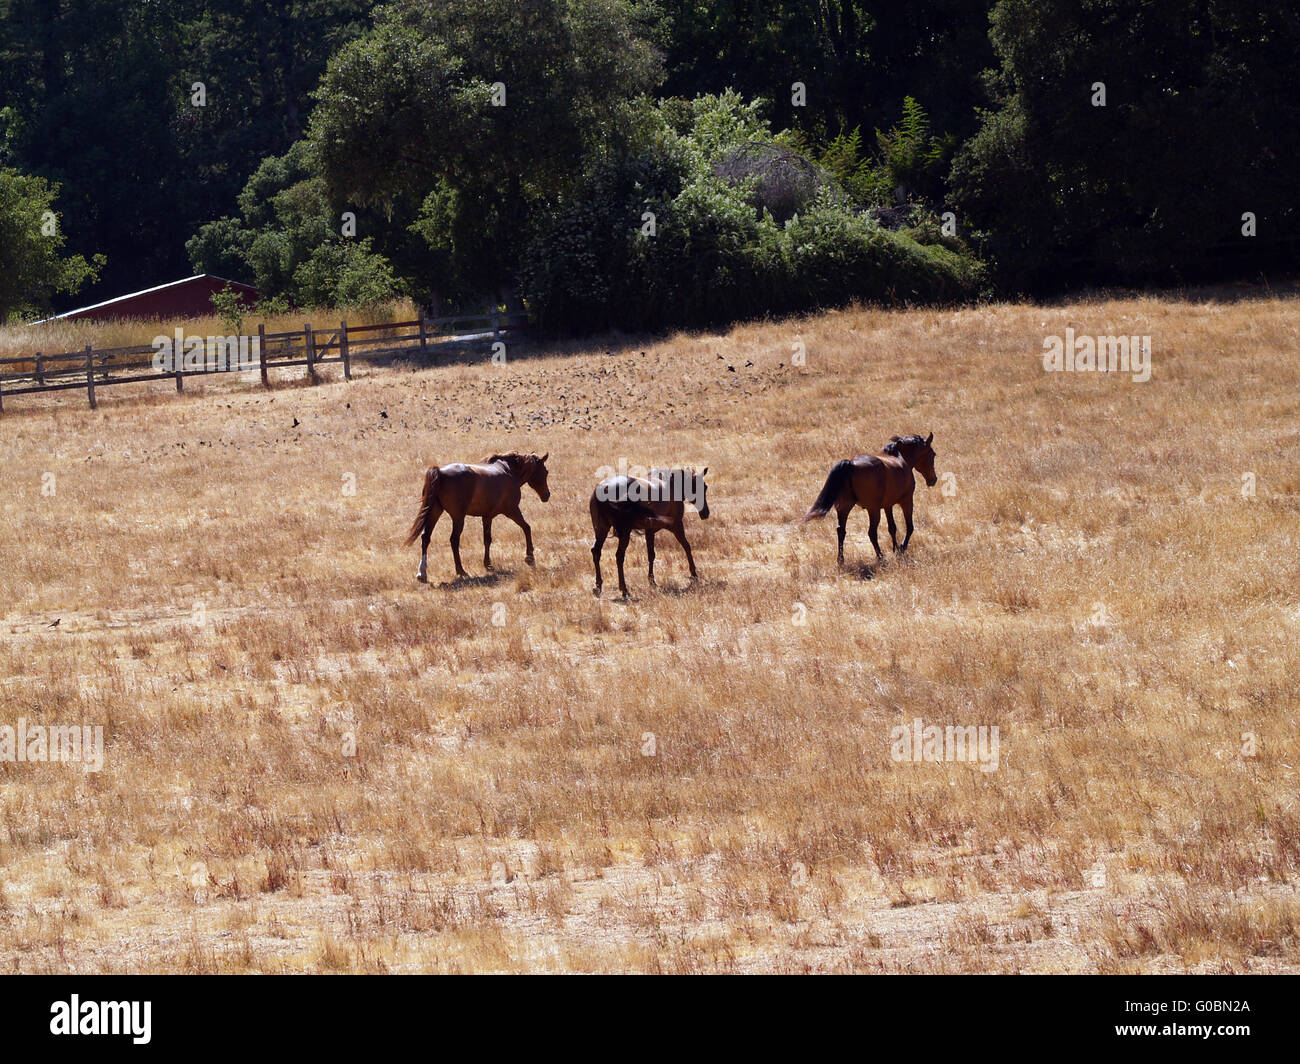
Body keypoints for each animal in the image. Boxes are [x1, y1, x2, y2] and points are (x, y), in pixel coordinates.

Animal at [405, 450, 548, 580]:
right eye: (546, 472)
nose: (547, 495)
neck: (508, 470)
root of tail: (439, 471)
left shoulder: (487, 516)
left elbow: (487, 539)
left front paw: (488, 564)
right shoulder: (512, 510)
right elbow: (527, 528)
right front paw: (530, 558)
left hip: (435, 512)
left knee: (426, 538)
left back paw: (422, 573)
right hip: (458, 517)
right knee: (454, 540)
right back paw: (461, 571)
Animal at [592, 465, 712, 598]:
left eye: (705, 487)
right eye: (701, 487)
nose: (705, 513)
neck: (671, 485)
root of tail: (603, 488)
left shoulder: (650, 531)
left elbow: (651, 555)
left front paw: (652, 581)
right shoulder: (676, 526)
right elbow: (687, 546)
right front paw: (694, 574)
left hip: (601, 530)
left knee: (596, 552)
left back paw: (598, 586)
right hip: (624, 533)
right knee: (619, 556)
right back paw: (624, 589)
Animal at [800, 431, 935, 564]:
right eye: (933, 455)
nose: (934, 480)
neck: (900, 458)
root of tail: (851, 464)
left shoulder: (888, 505)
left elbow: (892, 528)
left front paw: (895, 549)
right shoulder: (907, 501)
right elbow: (909, 527)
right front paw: (902, 548)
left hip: (844, 507)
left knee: (841, 530)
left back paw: (841, 560)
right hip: (873, 510)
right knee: (872, 533)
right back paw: (880, 557)